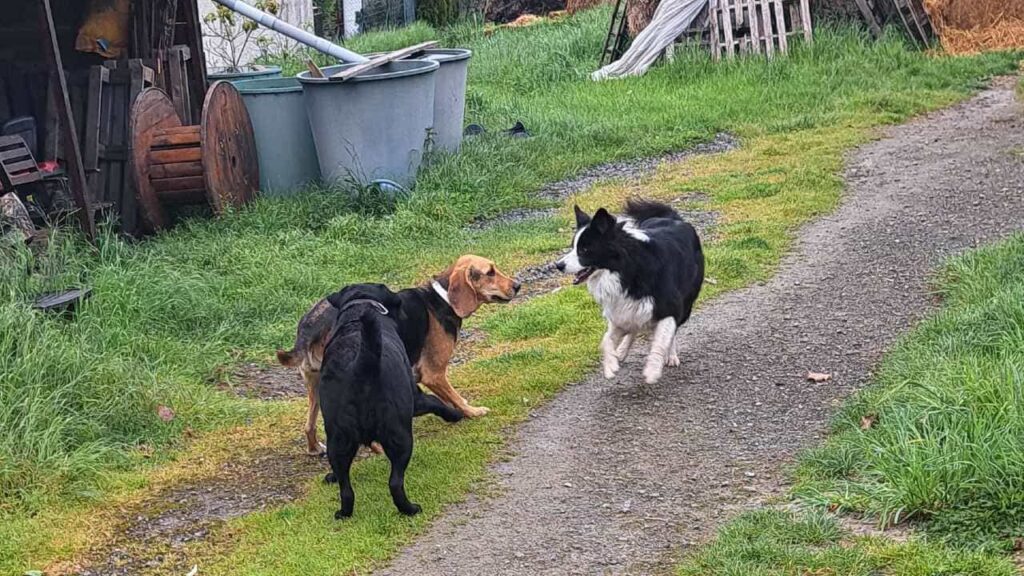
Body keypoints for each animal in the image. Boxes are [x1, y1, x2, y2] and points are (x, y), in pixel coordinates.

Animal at [319, 284, 460, 516]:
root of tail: (362, 366)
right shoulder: (416, 398)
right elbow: (435, 402)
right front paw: (456, 414)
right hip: (400, 436)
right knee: (395, 482)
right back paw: (410, 509)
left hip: (339, 441)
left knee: (345, 487)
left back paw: (344, 513)